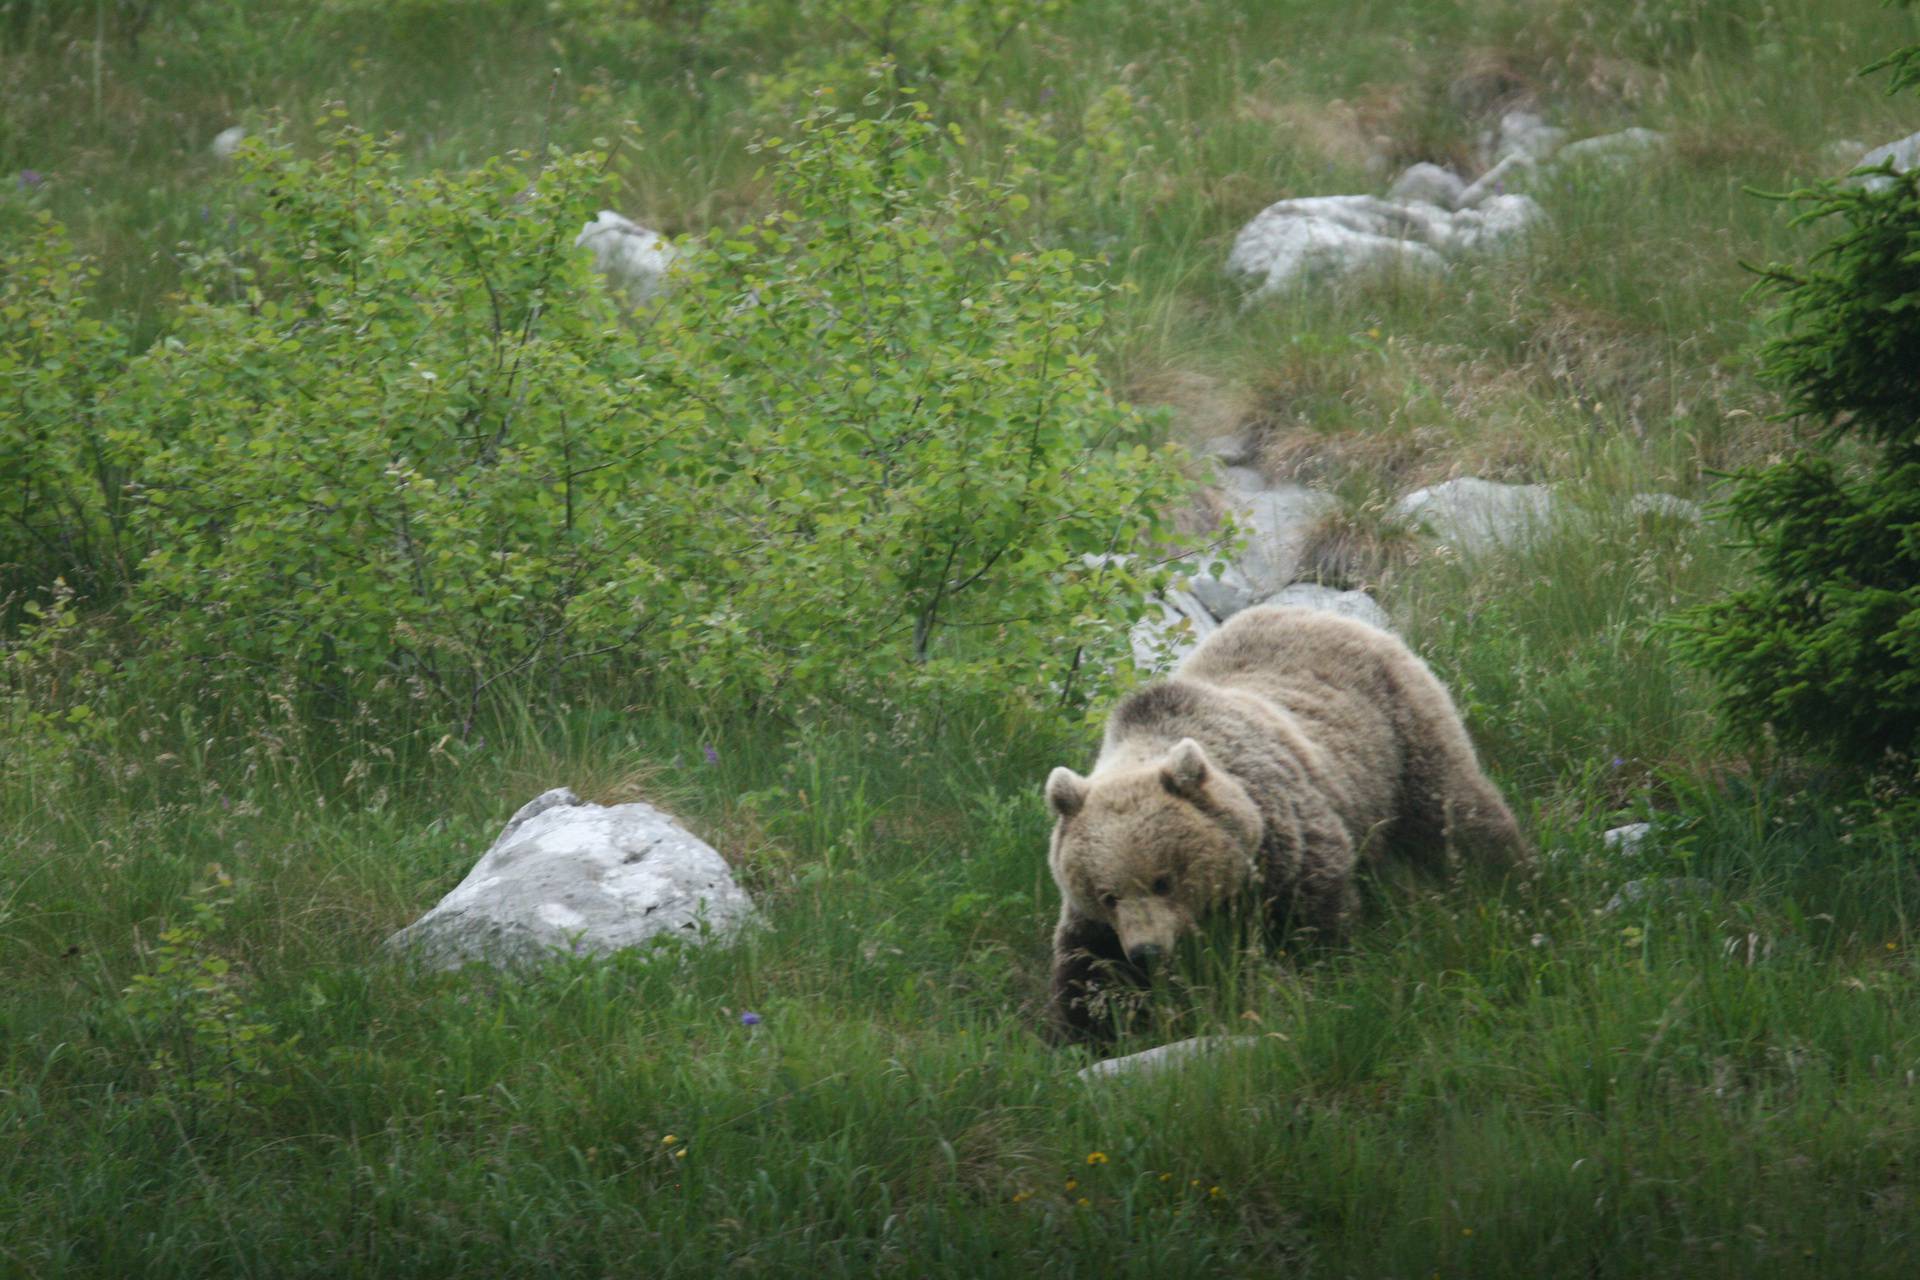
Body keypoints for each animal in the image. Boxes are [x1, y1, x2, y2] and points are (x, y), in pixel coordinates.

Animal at [1044, 610, 1520, 1043]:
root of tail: (1318, 613)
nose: (1146, 951)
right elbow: (1089, 965)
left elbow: (1310, 917)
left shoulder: (1282, 838)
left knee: (1454, 812)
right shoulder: (1095, 921)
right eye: (1107, 894)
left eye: (1163, 881)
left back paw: (1510, 878)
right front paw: (1090, 1031)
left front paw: (1316, 975)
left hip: (1400, 733)